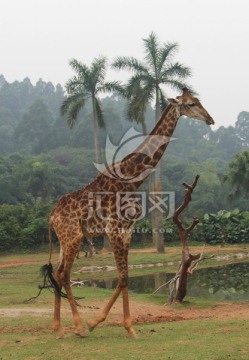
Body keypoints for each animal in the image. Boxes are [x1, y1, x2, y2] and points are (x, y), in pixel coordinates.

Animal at [43, 87, 214, 338]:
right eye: (191, 104)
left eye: (199, 101)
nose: (210, 119)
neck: (132, 180)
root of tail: (52, 215)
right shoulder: (114, 229)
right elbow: (122, 276)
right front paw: (94, 322)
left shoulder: (127, 231)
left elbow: (126, 278)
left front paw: (129, 327)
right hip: (73, 237)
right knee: (64, 274)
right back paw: (78, 327)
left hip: (65, 239)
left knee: (56, 272)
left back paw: (57, 327)